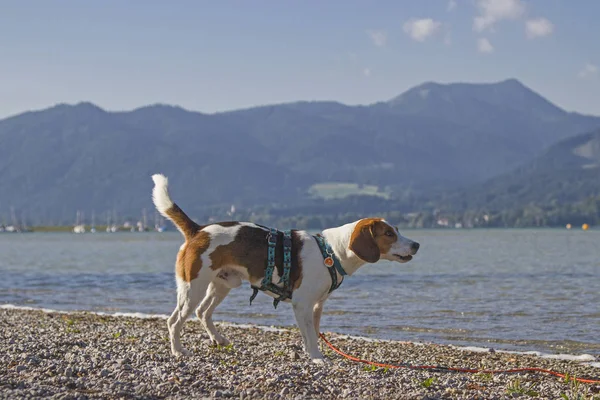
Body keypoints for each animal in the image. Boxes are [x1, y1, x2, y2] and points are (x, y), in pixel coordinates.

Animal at [152, 173, 420, 364]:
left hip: (222, 284)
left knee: (203, 313)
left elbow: (312, 332)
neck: (331, 251)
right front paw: (317, 359)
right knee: (174, 321)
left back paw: (218, 339)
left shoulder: (315, 306)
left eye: (396, 230)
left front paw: (312, 354)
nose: (417, 245)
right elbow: (310, 335)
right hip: (192, 288)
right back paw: (178, 351)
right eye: (389, 234)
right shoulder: (302, 303)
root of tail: (198, 230)